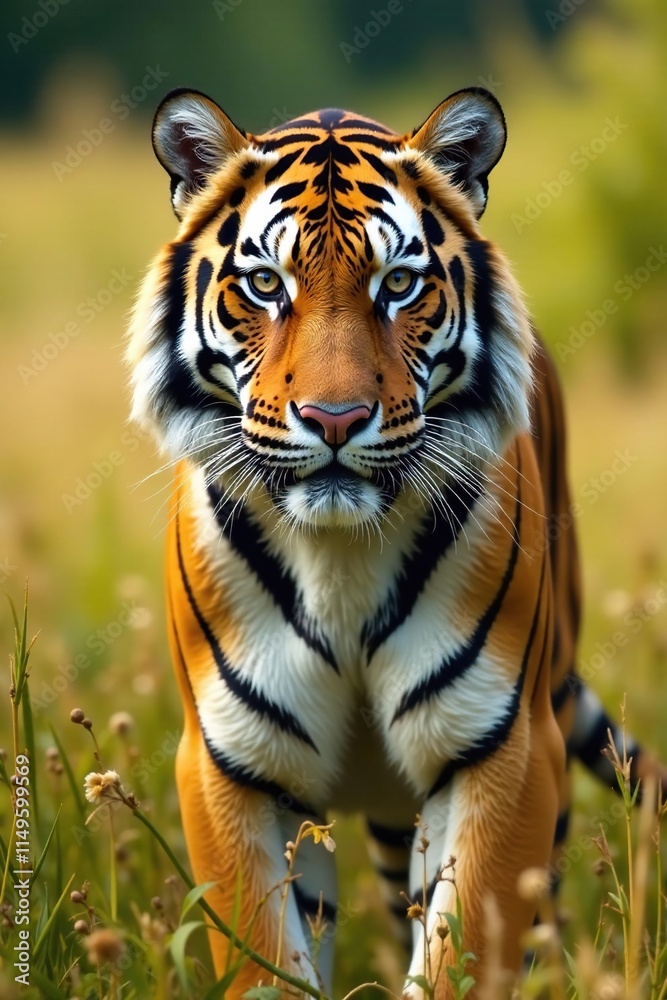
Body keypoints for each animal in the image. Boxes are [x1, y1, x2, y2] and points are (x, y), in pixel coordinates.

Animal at [127, 86, 666, 997]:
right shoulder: (229, 764)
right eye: (265, 285)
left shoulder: (501, 747)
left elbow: (462, 950)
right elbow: (267, 958)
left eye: (399, 284)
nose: (335, 419)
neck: (338, 556)